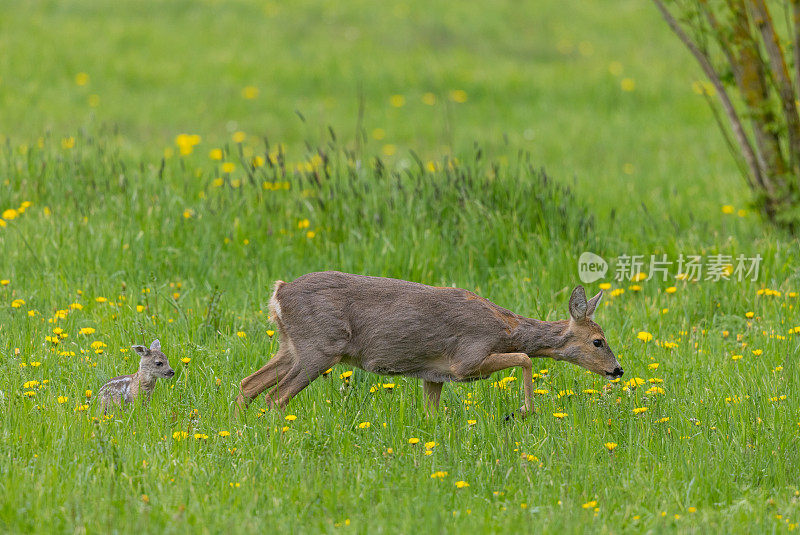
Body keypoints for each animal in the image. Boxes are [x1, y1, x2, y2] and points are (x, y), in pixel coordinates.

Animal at [238, 272, 624, 418]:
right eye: (598, 341)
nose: (618, 370)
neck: (506, 328)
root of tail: (279, 293)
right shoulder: (466, 361)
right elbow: (525, 359)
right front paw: (521, 412)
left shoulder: (433, 375)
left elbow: (431, 413)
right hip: (319, 348)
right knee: (275, 398)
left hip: (291, 346)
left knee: (248, 385)